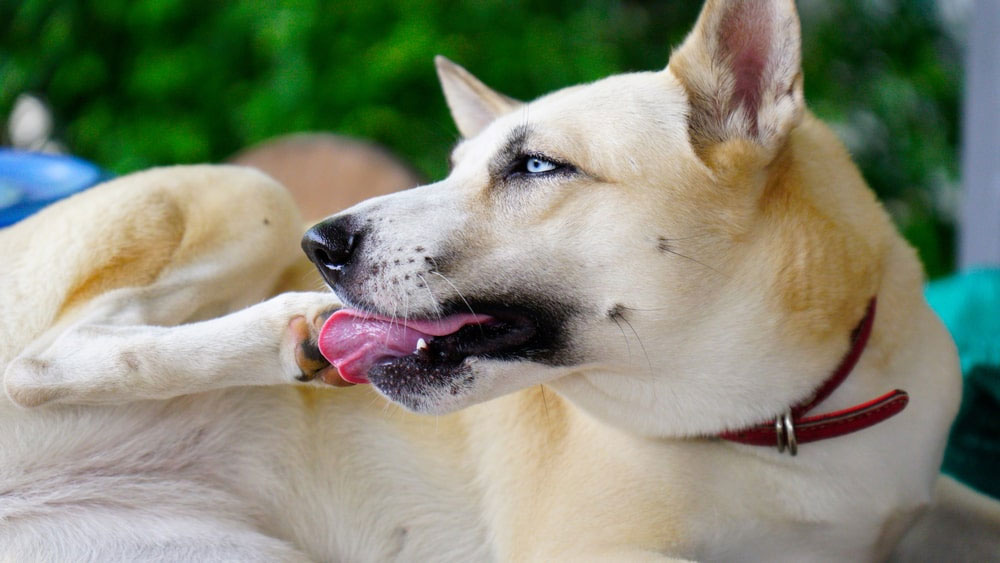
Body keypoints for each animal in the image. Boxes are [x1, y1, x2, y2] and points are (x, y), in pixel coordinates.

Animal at [1, 2, 1000, 560]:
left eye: (537, 166)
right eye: (451, 167)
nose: (324, 244)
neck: (787, 421)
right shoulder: (591, 549)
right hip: (255, 193)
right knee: (40, 361)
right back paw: (287, 329)